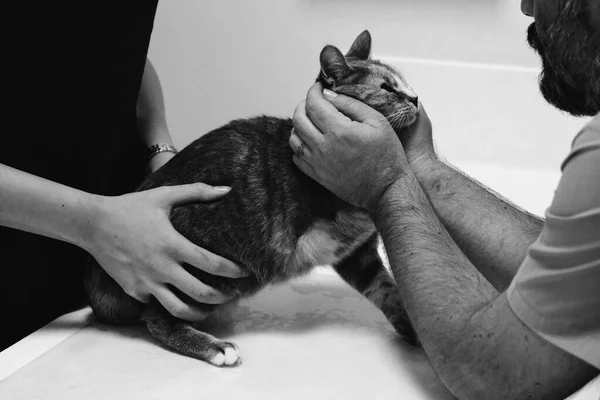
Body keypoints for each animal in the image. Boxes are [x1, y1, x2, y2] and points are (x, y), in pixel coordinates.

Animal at [84, 30, 420, 368]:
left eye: (403, 82)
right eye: (387, 87)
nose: (416, 98)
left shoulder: (357, 254)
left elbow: (387, 289)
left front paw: (411, 327)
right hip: (205, 270)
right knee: (157, 317)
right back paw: (215, 347)